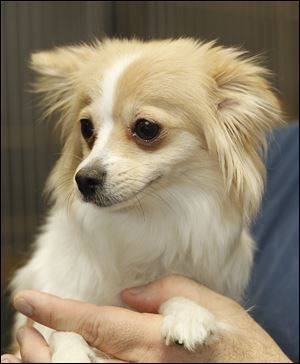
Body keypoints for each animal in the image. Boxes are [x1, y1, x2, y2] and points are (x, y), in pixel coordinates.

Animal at [8, 38, 282, 362]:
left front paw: (189, 313)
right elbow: (59, 326)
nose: (84, 179)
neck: (146, 219)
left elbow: (183, 288)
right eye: (86, 128)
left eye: (146, 128)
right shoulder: (56, 289)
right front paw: (72, 353)